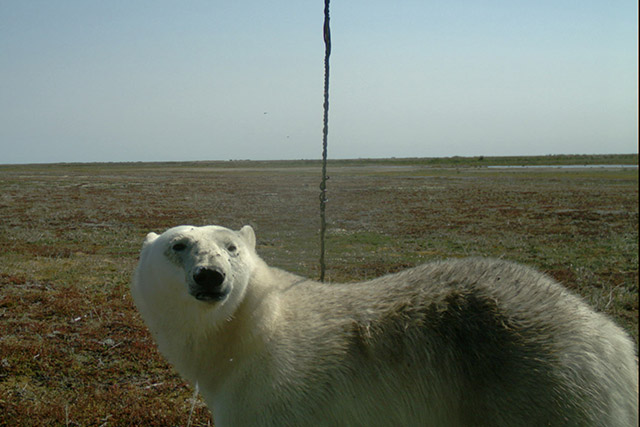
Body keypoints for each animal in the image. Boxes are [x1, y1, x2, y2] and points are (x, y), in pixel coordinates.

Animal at [132, 226, 636, 426]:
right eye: (178, 244)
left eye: (231, 246)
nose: (210, 276)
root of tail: (612, 339)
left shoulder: (273, 394)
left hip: (542, 384)